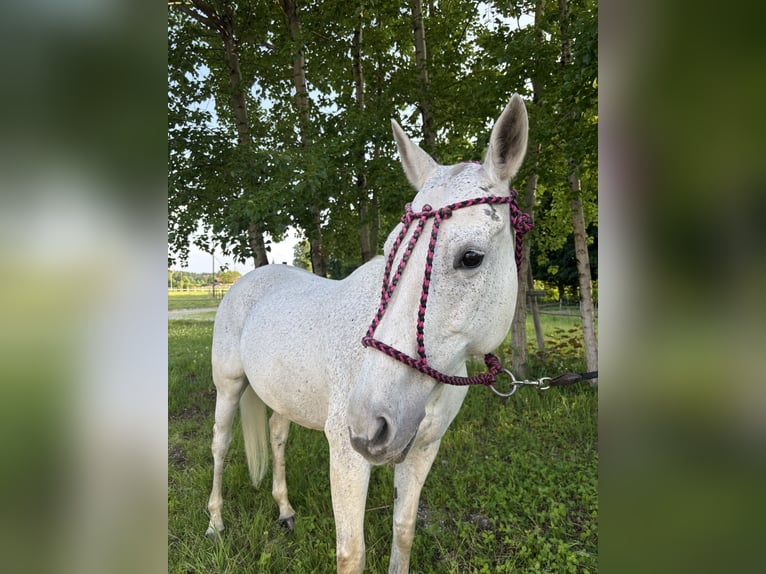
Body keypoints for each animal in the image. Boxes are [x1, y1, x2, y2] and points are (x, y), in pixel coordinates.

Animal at [205, 94, 529, 574]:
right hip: (228, 388)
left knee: (278, 437)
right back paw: (215, 523)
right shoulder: (346, 456)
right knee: (220, 446)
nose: (367, 425)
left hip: (280, 396)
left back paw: (284, 510)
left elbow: (404, 530)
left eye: (471, 257)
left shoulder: (422, 450)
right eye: (394, 248)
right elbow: (351, 553)